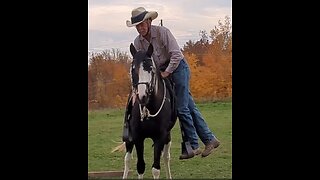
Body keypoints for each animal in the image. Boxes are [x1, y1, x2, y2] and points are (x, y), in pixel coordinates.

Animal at [122, 43, 178, 179]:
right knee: (127, 159)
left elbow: (156, 169)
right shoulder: (137, 137)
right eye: (133, 69)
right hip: (129, 139)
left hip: (167, 137)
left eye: (151, 68)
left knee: (166, 157)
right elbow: (140, 166)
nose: (143, 96)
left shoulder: (160, 137)